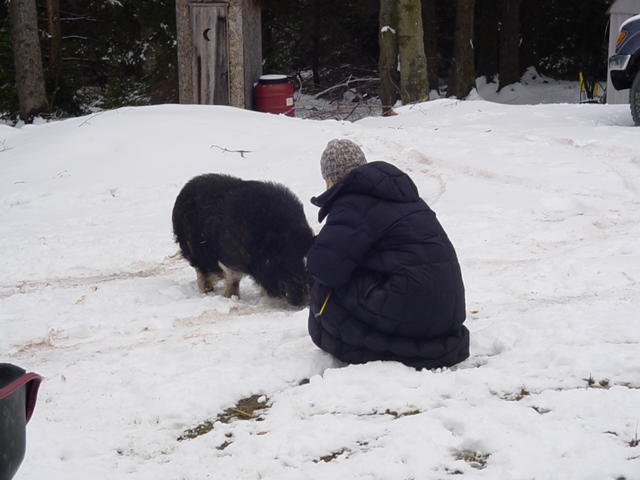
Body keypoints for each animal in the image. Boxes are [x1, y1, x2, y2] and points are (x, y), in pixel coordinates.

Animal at [172, 173, 314, 307]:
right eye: (285, 262)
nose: (304, 300)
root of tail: (186, 187)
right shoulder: (232, 255)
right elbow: (234, 277)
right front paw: (231, 297)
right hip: (191, 249)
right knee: (201, 270)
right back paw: (207, 290)